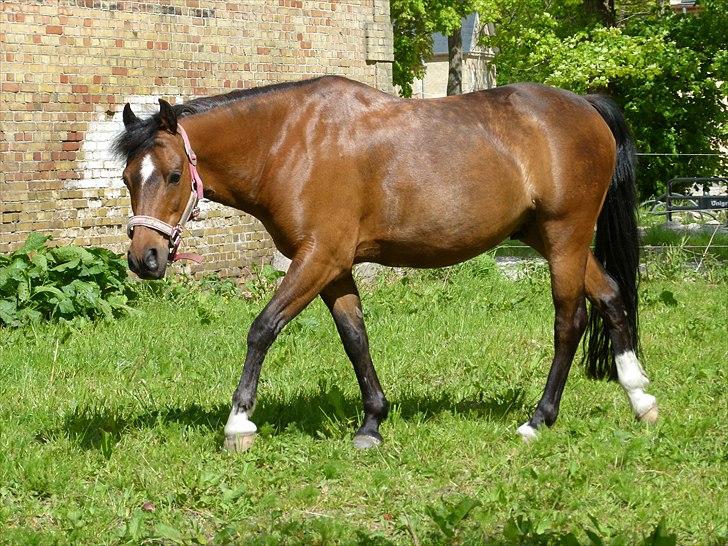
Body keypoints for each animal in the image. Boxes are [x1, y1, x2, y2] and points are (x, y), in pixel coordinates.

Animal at [115, 76, 660, 450]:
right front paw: (372, 423)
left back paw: (538, 419)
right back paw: (640, 398)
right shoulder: (333, 267)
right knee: (611, 299)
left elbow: (262, 328)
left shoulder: (318, 257)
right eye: (126, 177)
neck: (290, 141)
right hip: (554, 240)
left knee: (570, 321)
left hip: (566, 237)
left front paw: (239, 423)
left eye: (172, 174)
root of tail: (585, 106)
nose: (145, 258)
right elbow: (355, 337)